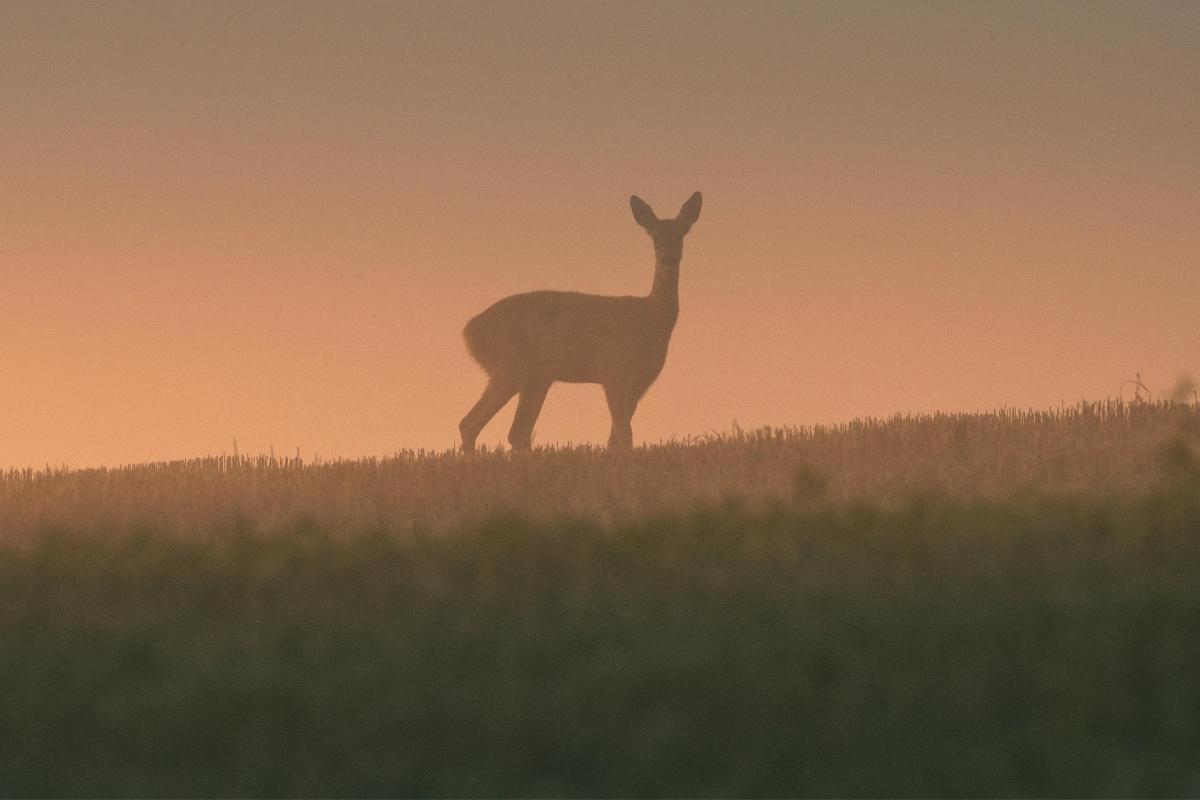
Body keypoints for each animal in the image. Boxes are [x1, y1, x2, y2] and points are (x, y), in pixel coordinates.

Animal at [459, 191, 703, 453]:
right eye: (655, 237)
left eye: (681, 234)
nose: (668, 259)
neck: (650, 320)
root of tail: (469, 331)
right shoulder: (613, 372)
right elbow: (624, 435)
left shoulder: (641, 383)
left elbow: (614, 440)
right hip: (509, 365)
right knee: (470, 424)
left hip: (536, 378)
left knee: (517, 433)